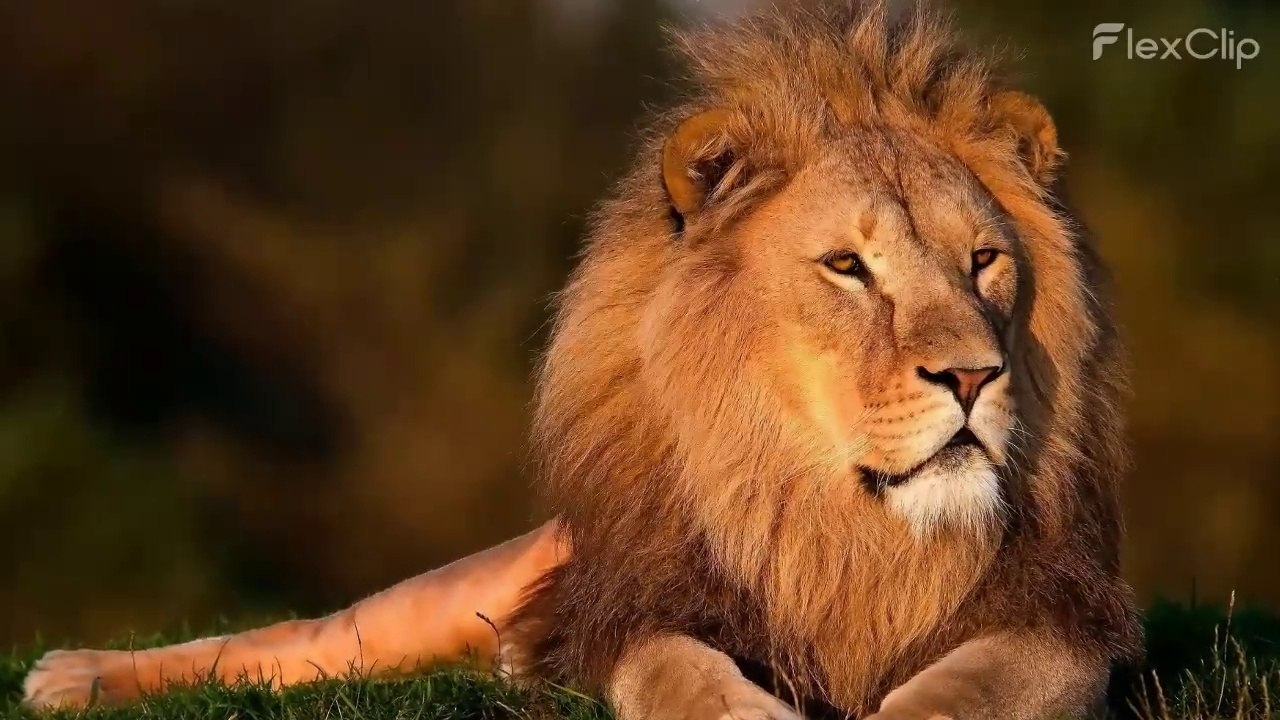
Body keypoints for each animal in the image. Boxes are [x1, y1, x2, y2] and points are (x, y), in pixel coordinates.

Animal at [23, 3, 1142, 718]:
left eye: (983, 261)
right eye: (847, 268)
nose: (973, 378)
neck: (839, 525)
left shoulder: (1061, 622)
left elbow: (976, 685)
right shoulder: (635, 608)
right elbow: (676, 670)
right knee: (286, 645)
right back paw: (70, 676)